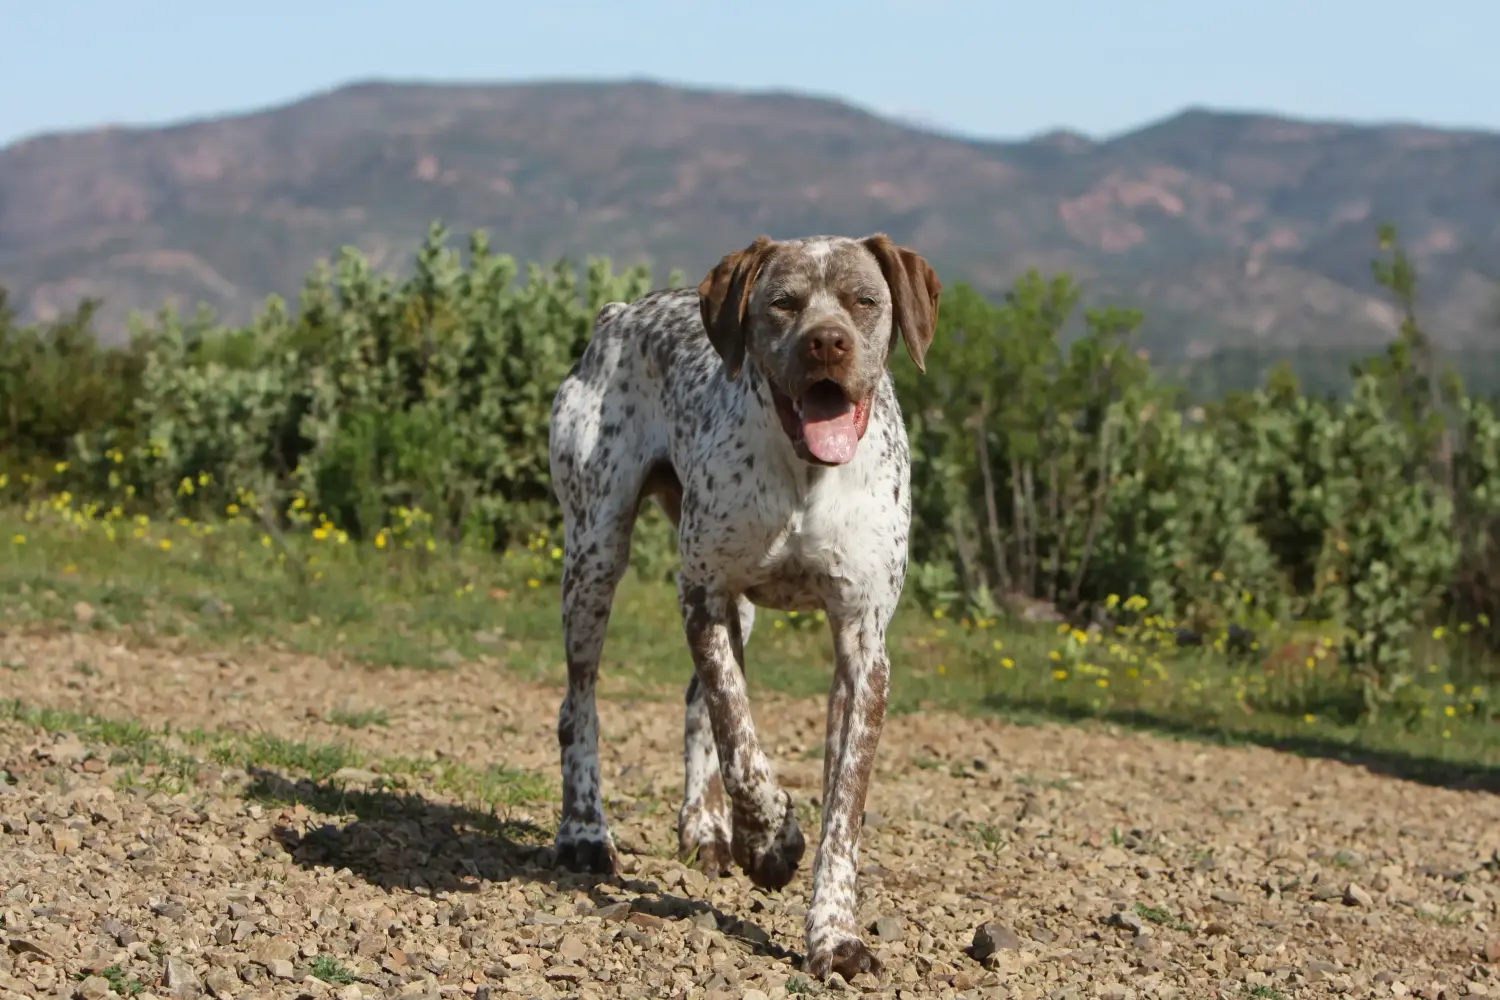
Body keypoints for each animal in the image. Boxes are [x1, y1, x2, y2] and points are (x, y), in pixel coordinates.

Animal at [546, 230, 942, 983]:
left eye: (864, 300)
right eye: (782, 303)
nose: (826, 343)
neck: (806, 476)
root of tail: (619, 313)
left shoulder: (862, 646)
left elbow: (841, 811)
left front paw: (834, 934)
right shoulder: (703, 594)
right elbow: (741, 742)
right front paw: (771, 840)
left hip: (734, 609)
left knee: (692, 698)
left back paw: (704, 826)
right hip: (594, 555)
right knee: (579, 703)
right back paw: (585, 831)